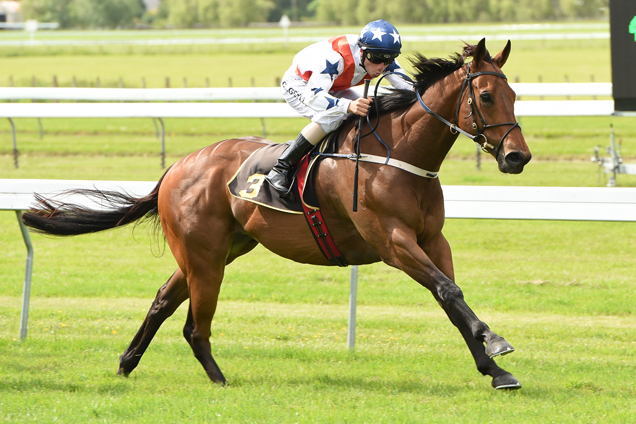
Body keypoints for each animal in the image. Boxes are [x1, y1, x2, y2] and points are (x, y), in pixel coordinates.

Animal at [22, 39, 532, 390]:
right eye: (487, 97)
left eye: (514, 96)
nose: (517, 157)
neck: (398, 155)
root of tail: (177, 167)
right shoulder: (392, 240)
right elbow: (449, 291)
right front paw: (496, 342)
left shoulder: (432, 240)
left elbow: (451, 299)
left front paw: (495, 369)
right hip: (205, 256)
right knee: (195, 325)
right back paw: (218, 378)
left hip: (218, 249)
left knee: (164, 300)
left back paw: (127, 363)